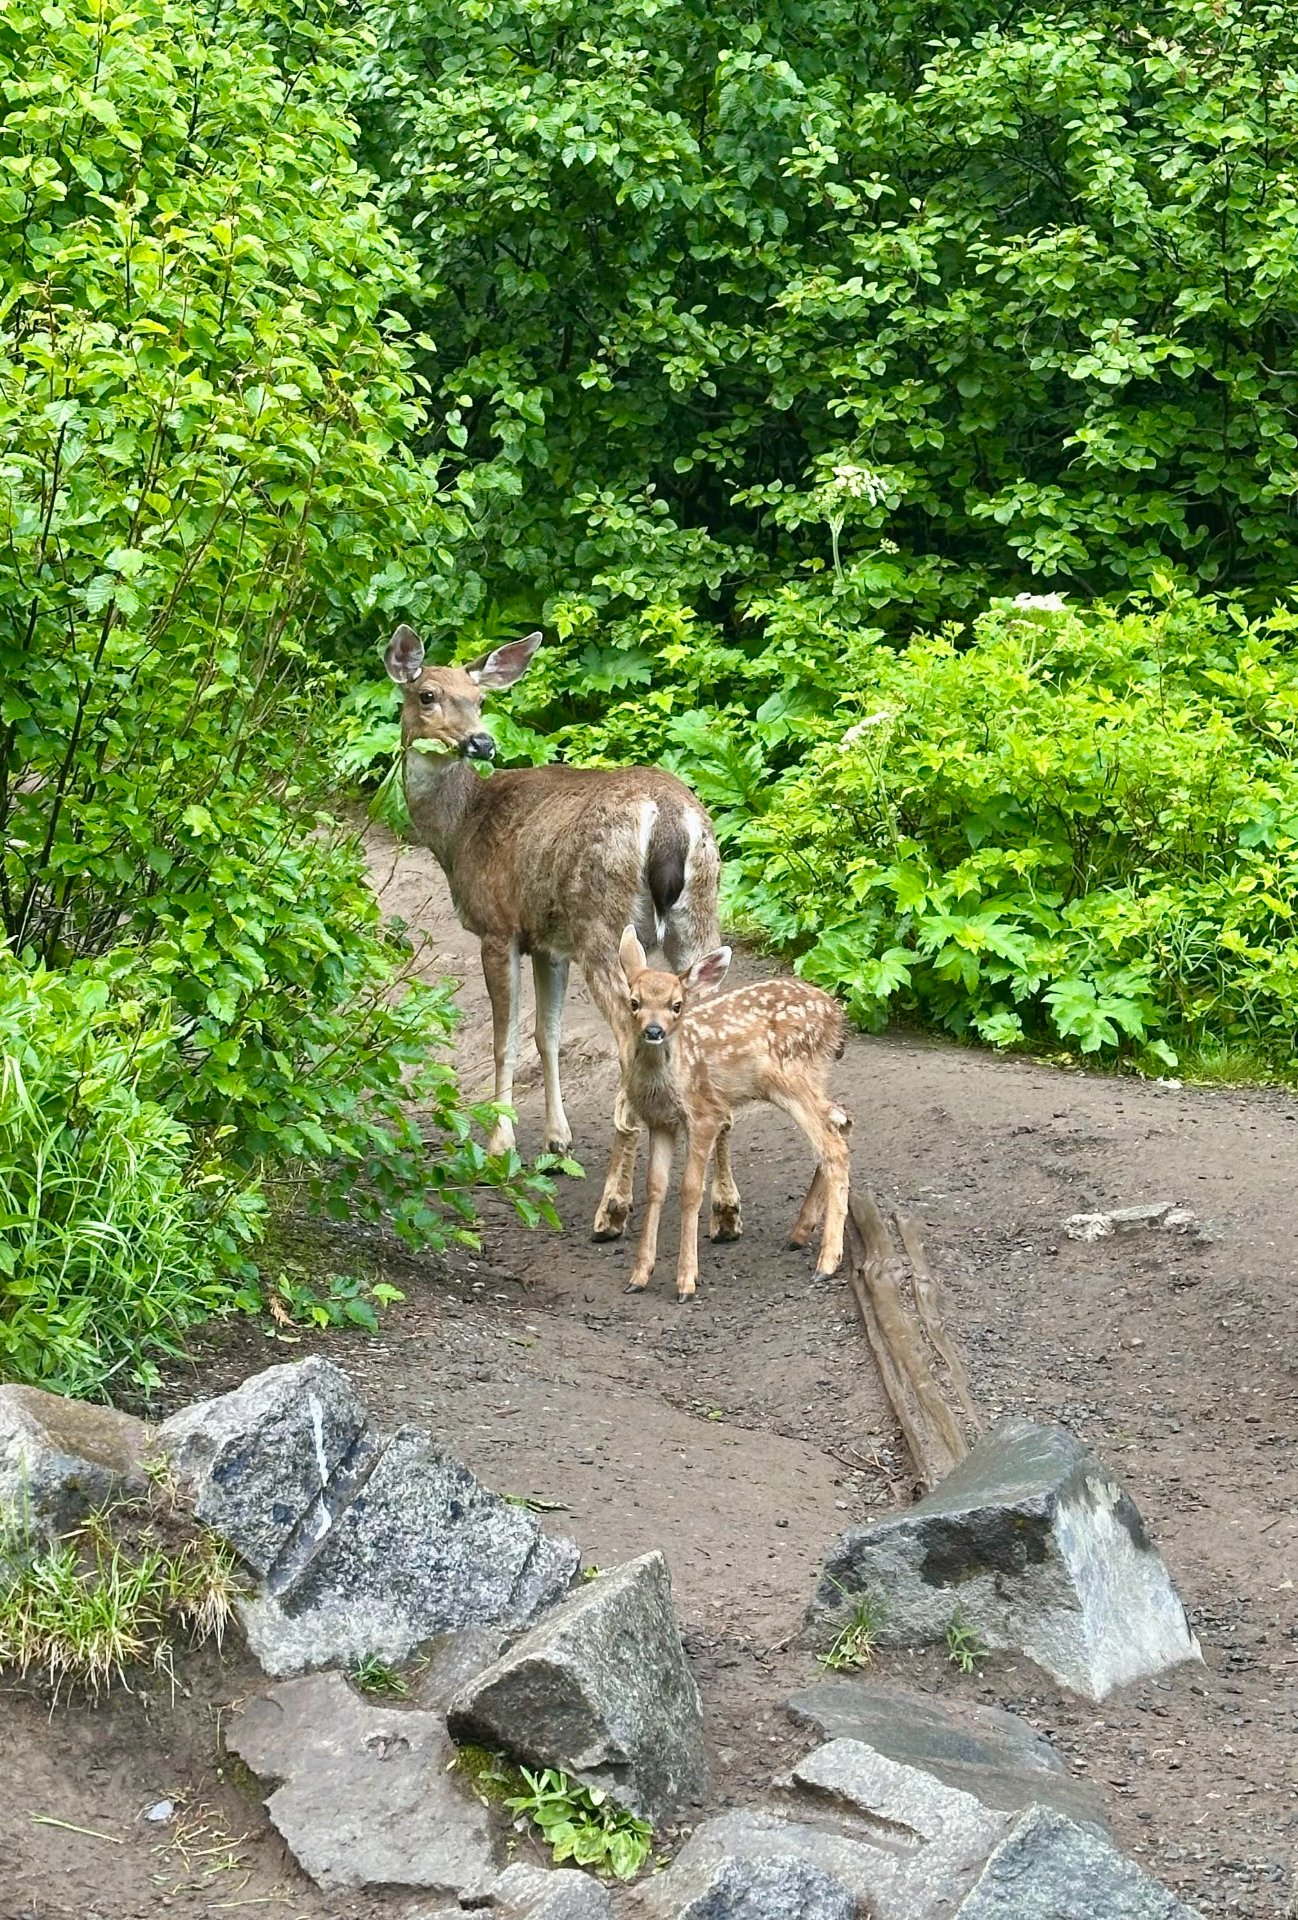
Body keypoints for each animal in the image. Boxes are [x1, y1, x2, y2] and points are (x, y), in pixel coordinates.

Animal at [384, 624, 721, 1239]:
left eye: (480, 699)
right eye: (429, 695)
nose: (481, 743)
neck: (458, 830)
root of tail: (667, 818)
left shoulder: (499, 929)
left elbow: (506, 1039)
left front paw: (500, 1144)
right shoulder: (549, 943)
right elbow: (548, 1033)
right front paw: (557, 1142)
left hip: (605, 927)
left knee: (631, 1046)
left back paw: (612, 1209)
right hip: (698, 916)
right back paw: (722, 1212)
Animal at [617, 928, 852, 1301]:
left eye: (676, 1005)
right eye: (634, 1002)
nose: (654, 1031)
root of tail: (837, 1017)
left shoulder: (705, 1113)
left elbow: (690, 1189)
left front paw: (686, 1282)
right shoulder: (660, 1121)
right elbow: (655, 1188)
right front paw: (639, 1276)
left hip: (791, 1077)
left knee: (833, 1147)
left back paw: (826, 1263)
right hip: (805, 1081)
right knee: (841, 1121)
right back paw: (799, 1233)